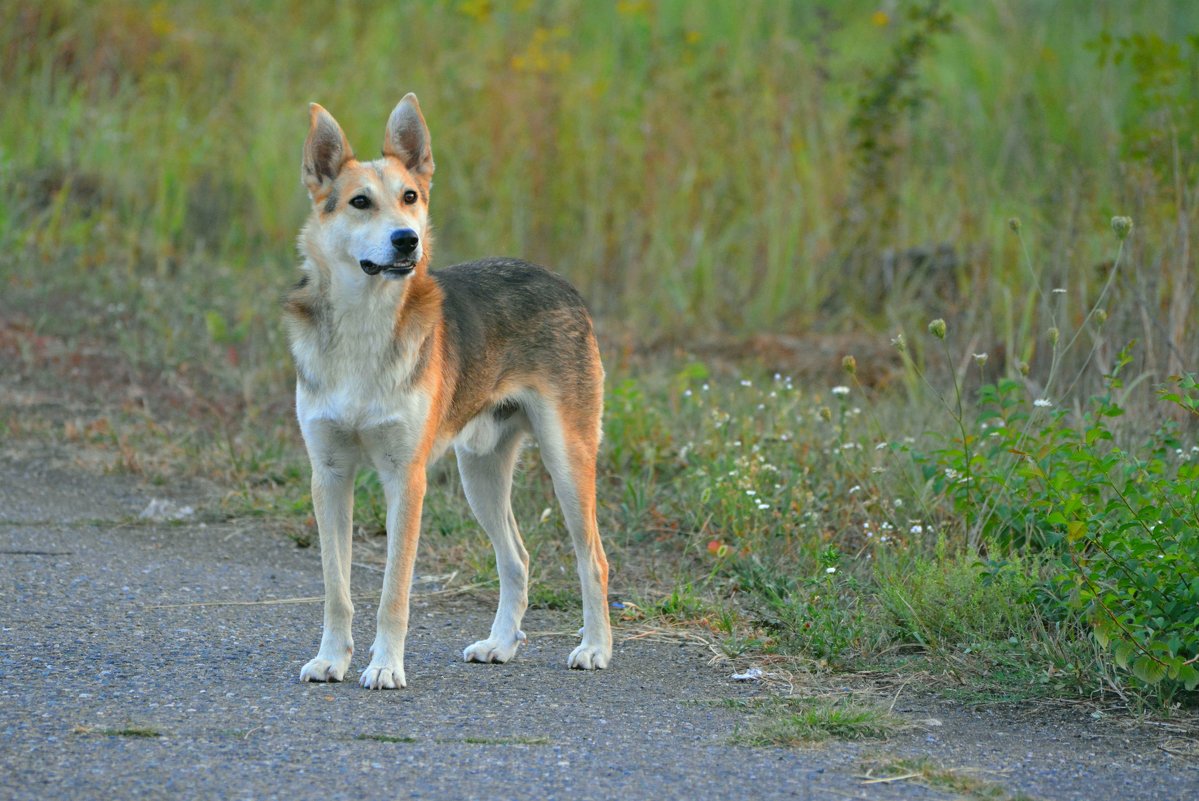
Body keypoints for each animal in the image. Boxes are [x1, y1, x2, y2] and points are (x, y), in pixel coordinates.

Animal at [285, 90, 613, 685]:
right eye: (360, 202)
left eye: (410, 197)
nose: (407, 239)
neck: (364, 327)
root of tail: (561, 282)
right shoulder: (329, 474)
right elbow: (336, 590)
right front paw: (331, 658)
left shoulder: (406, 479)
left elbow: (393, 592)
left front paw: (385, 667)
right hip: (479, 471)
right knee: (517, 558)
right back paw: (500, 644)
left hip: (567, 460)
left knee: (592, 559)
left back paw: (596, 648)